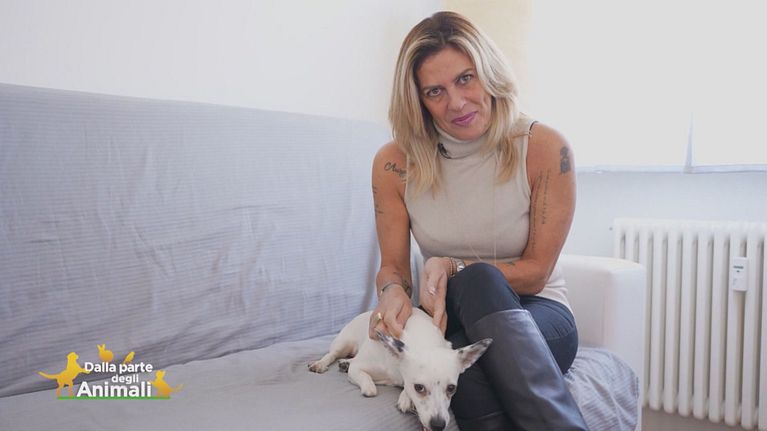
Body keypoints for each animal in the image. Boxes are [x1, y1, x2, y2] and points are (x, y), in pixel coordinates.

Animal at [309, 308, 492, 431]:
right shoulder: (358, 367)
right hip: (343, 343)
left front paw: (405, 397)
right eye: (419, 387)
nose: (438, 425)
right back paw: (321, 364)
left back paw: (344, 363)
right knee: (332, 354)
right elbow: (369, 385)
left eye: (451, 388)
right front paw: (370, 387)